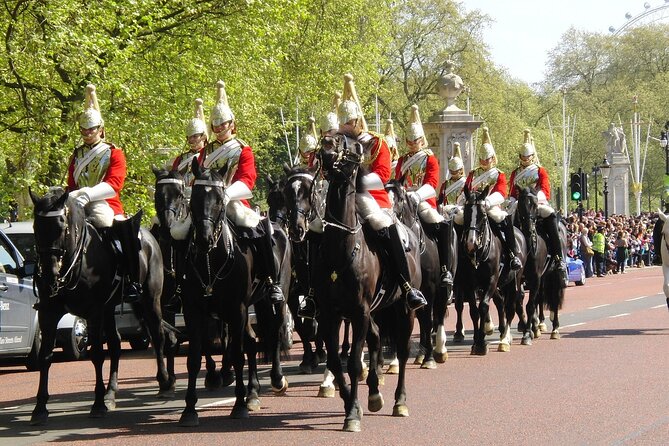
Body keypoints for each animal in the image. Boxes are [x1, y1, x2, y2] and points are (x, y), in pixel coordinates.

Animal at [29, 187, 176, 426]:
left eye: (61, 225)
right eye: (36, 227)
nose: (50, 275)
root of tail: (150, 235)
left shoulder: (94, 312)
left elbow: (97, 355)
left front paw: (97, 405)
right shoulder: (48, 314)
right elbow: (45, 357)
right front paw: (40, 408)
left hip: (149, 300)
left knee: (158, 335)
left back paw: (164, 382)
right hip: (110, 309)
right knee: (116, 344)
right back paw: (111, 393)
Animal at [180, 159, 288, 426]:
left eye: (220, 199)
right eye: (194, 196)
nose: (204, 239)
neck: (211, 259)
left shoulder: (236, 309)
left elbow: (238, 355)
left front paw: (238, 405)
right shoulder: (194, 311)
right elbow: (194, 357)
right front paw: (189, 409)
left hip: (274, 300)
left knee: (275, 333)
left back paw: (276, 379)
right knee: (252, 340)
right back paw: (253, 394)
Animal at [314, 135, 418, 432]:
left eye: (348, 143)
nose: (327, 143)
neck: (341, 248)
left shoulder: (358, 312)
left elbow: (352, 363)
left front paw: (351, 414)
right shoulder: (330, 314)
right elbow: (336, 362)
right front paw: (353, 405)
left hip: (403, 310)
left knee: (403, 351)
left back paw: (399, 402)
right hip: (376, 311)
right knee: (375, 337)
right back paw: (374, 394)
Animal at [384, 178, 452, 366]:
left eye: (400, 198)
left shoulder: (429, 288)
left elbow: (428, 321)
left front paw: (429, 358)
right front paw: (395, 360)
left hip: (442, 288)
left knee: (438, 314)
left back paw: (438, 350)